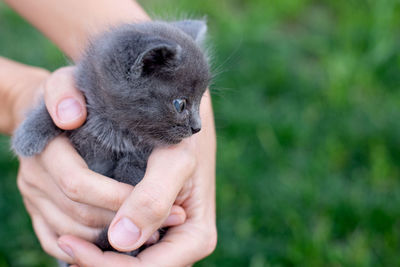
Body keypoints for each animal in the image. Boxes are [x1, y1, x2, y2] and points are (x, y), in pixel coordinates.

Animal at [11, 19, 211, 256]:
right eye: (180, 104)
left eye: (200, 101)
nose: (198, 127)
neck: (112, 130)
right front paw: (28, 135)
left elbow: (132, 163)